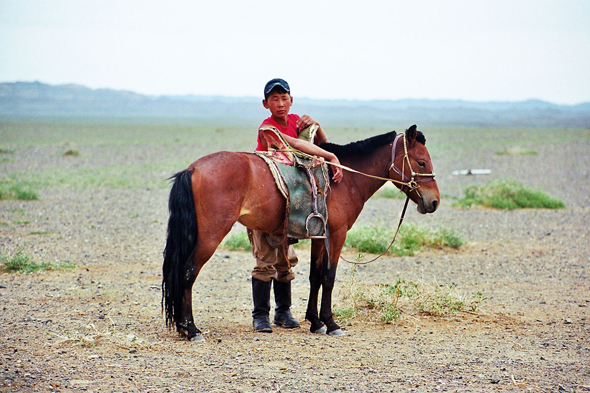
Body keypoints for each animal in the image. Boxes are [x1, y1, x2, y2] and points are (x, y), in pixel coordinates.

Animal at [162, 124, 440, 338]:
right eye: (421, 161)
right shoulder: (336, 235)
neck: (345, 180)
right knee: (187, 273)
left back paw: (185, 327)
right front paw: (331, 323)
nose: (434, 201)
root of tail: (193, 169)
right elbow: (329, 276)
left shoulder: (319, 236)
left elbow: (315, 276)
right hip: (210, 236)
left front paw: (315, 322)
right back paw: (191, 329)